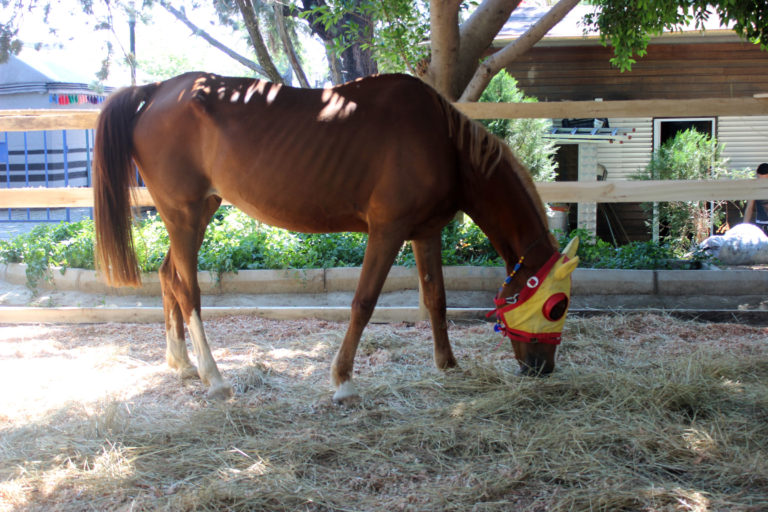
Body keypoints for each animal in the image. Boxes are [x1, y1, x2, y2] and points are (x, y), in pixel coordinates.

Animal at [92, 72, 579, 402]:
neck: (444, 142)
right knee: (187, 289)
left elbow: (436, 299)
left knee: (167, 277)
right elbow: (363, 302)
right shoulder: (387, 231)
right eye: (557, 307)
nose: (543, 369)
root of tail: (158, 90)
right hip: (184, 215)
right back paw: (214, 377)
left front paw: (448, 365)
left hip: (195, 215)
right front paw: (343, 381)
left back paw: (181, 364)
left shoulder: (425, 234)